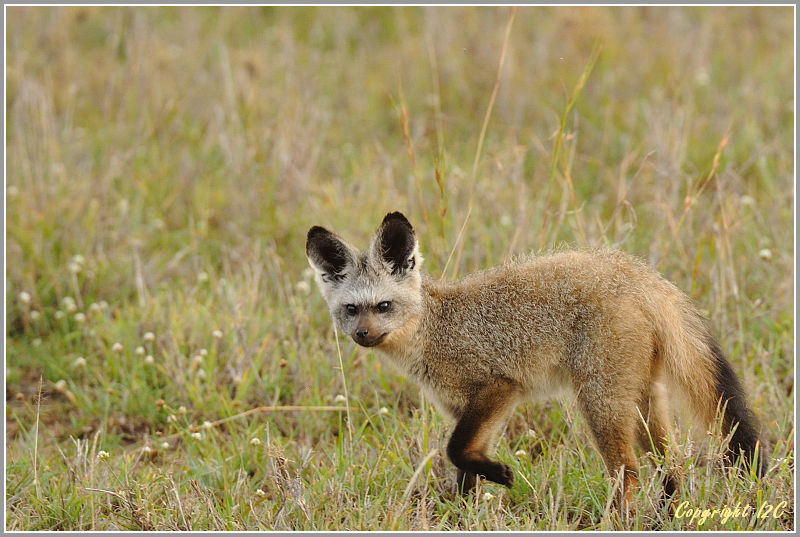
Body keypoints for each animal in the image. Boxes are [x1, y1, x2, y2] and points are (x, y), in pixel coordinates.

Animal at [304, 210, 764, 506]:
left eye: (383, 306)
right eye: (351, 309)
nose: (362, 335)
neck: (435, 328)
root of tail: (633, 274)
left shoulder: (498, 387)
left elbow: (454, 451)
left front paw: (501, 475)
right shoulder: (464, 409)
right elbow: (464, 469)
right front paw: (465, 515)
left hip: (601, 403)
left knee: (628, 474)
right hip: (643, 402)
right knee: (672, 467)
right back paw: (664, 516)